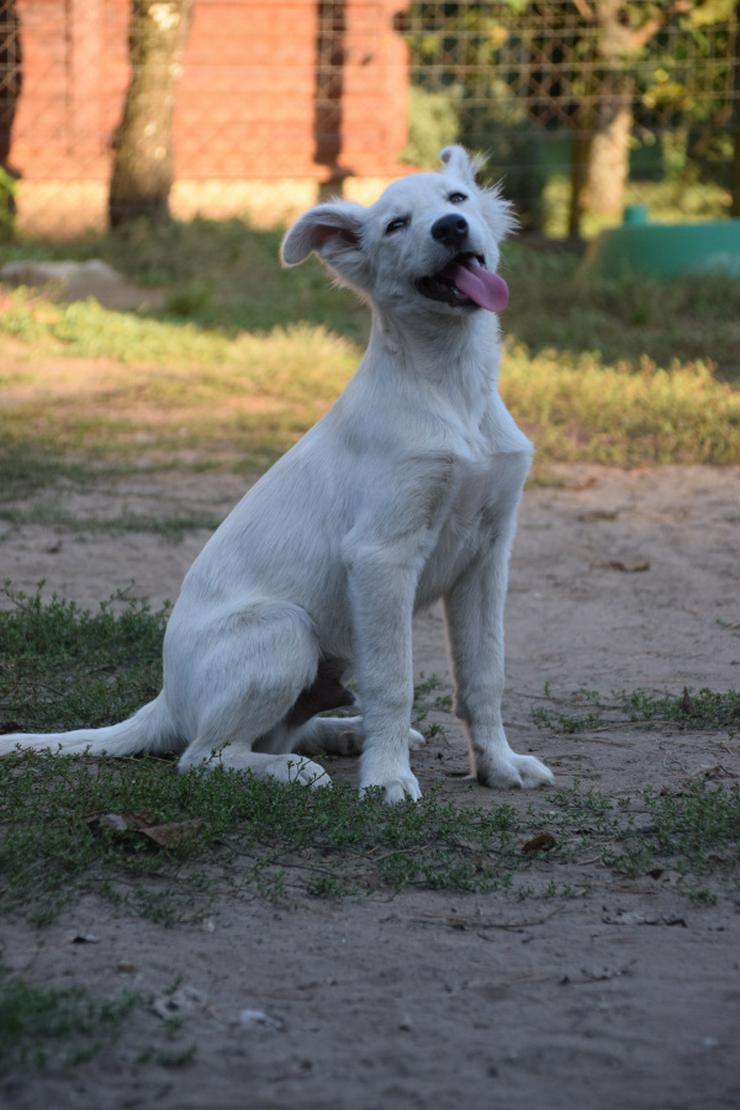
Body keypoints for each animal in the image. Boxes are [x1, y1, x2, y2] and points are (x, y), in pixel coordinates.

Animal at [1, 149, 554, 808]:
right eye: (396, 225)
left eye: (457, 200)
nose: (450, 229)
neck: (450, 387)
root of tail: (165, 702)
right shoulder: (381, 554)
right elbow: (395, 680)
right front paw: (388, 778)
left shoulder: (487, 553)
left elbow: (484, 674)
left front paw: (498, 764)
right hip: (284, 628)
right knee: (203, 756)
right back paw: (300, 769)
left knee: (274, 731)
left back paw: (341, 732)